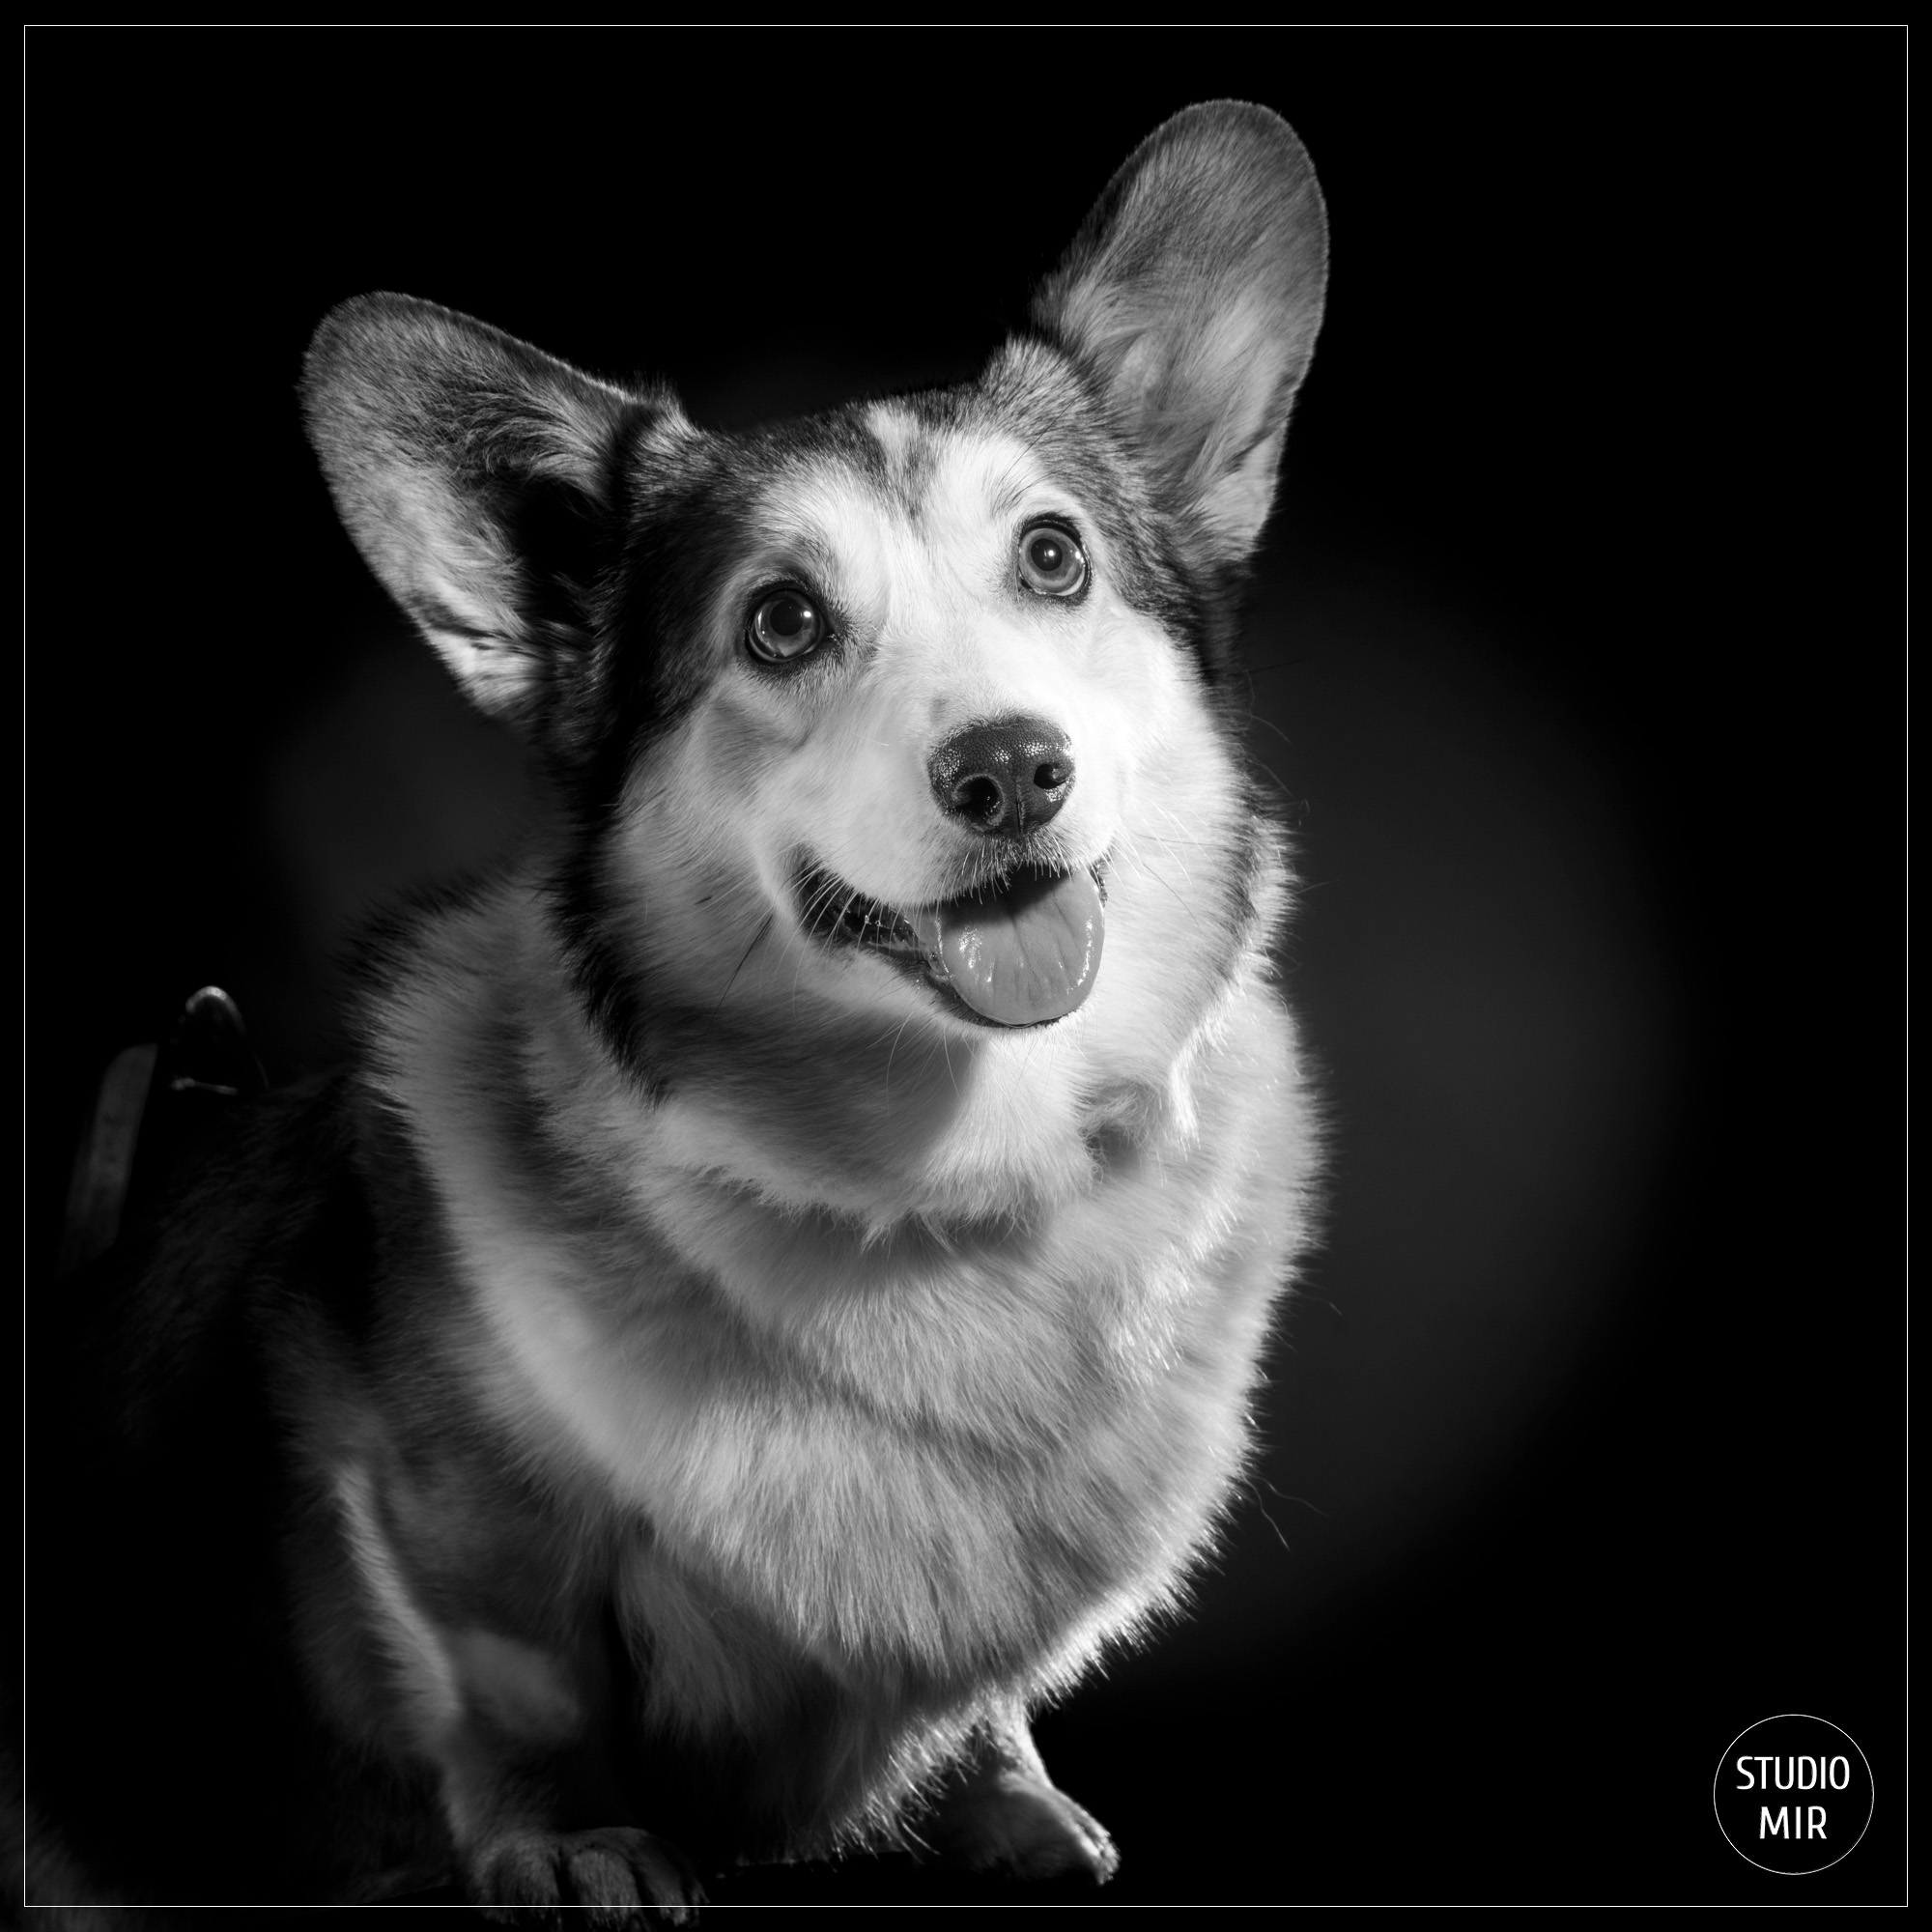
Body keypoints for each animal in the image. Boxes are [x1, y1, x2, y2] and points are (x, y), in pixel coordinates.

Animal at [22, 98, 1329, 1909]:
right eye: (781, 621)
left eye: (1055, 557)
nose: (1011, 769)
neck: (931, 1176)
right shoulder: (437, 1491)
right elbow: (521, 1670)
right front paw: (577, 1840)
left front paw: (1006, 1797)